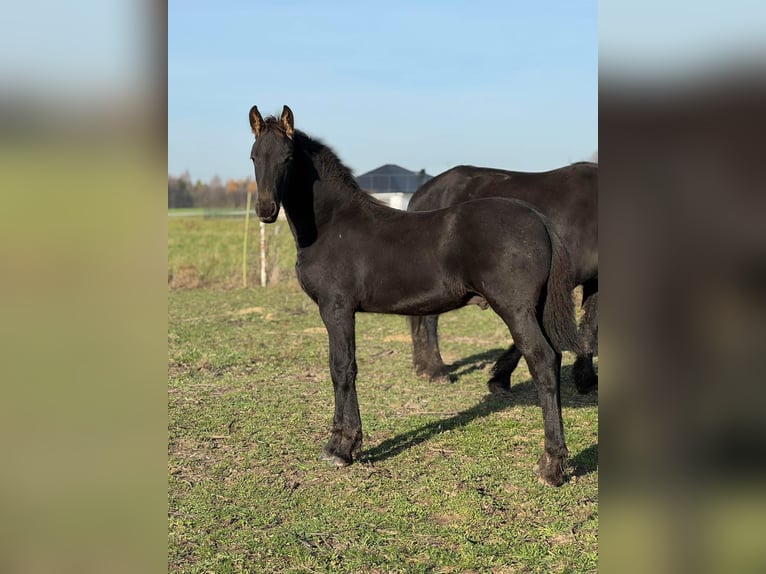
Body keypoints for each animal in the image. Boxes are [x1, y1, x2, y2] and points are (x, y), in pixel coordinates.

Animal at [407, 164, 598, 394]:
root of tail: (421, 193)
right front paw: (499, 378)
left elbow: (589, 328)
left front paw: (586, 379)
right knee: (429, 319)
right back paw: (437, 370)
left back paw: (422, 366)